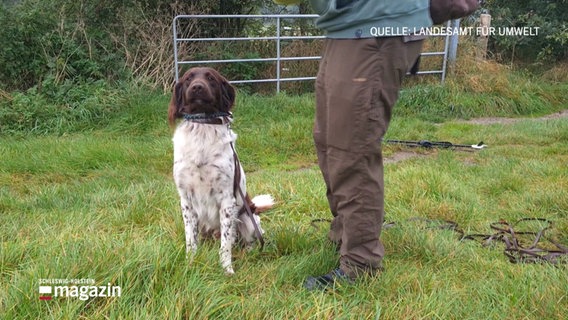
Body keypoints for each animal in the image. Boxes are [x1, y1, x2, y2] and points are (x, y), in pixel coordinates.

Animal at [169, 67, 272, 276]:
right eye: (188, 79)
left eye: (211, 78)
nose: (197, 87)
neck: (202, 127)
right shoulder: (186, 201)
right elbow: (191, 241)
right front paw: (190, 264)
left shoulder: (227, 200)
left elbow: (226, 244)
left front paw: (227, 269)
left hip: (247, 219)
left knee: (245, 241)